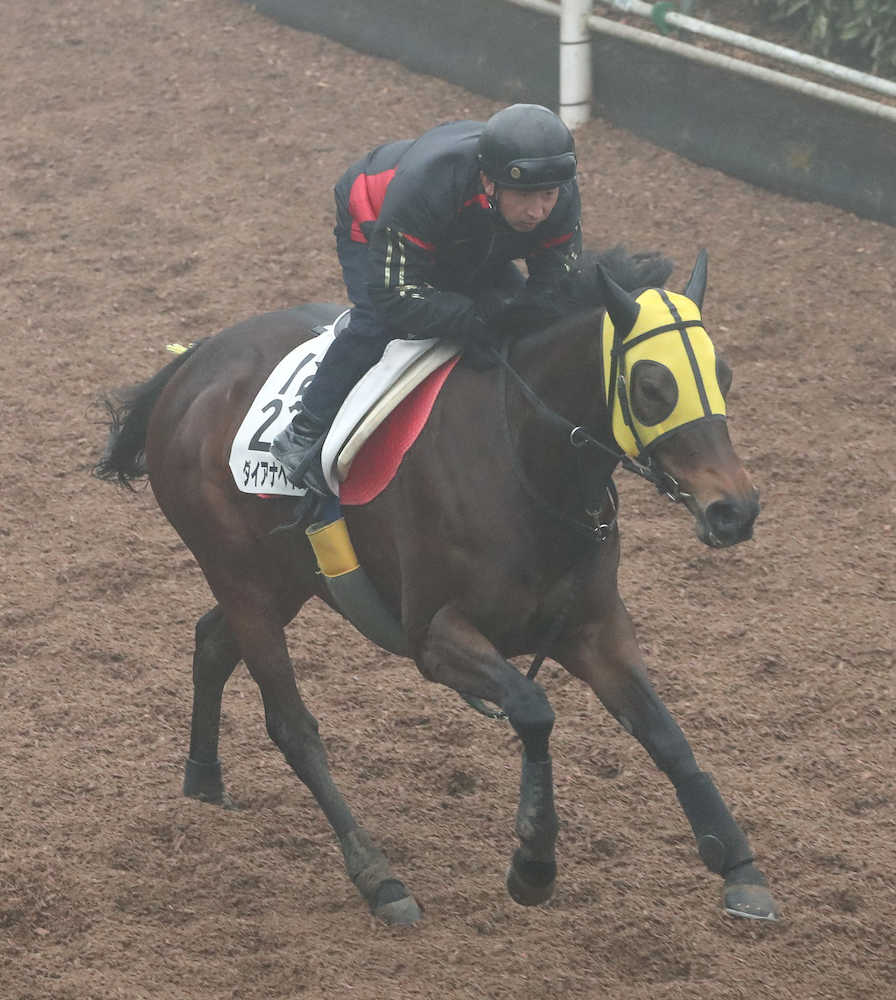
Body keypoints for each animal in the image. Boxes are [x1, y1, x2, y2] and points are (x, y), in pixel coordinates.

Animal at [95, 248, 778, 926]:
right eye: (653, 387)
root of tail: (192, 366)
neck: (522, 460)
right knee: (292, 725)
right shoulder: (434, 636)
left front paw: (738, 863)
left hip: (285, 576)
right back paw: (379, 877)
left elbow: (663, 730)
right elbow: (534, 709)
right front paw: (533, 863)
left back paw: (204, 777)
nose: (734, 510)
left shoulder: (594, 628)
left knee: (212, 641)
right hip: (242, 580)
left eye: (726, 374)